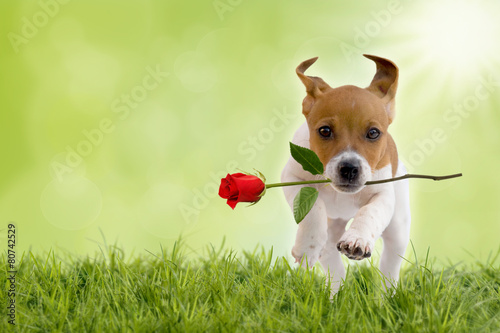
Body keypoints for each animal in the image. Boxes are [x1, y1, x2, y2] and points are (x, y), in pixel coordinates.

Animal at [282, 54, 410, 294]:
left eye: (373, 133)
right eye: (324, 131)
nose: (349, 168)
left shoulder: (383, 194)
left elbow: (370, 212)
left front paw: (357, 239)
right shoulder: (292, 178)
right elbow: (313, 209)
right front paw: (307, 246)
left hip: (398, 228)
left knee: (390, 265)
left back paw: (386, 295)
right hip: (331, 233)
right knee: (332, 263)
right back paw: (335, 294)